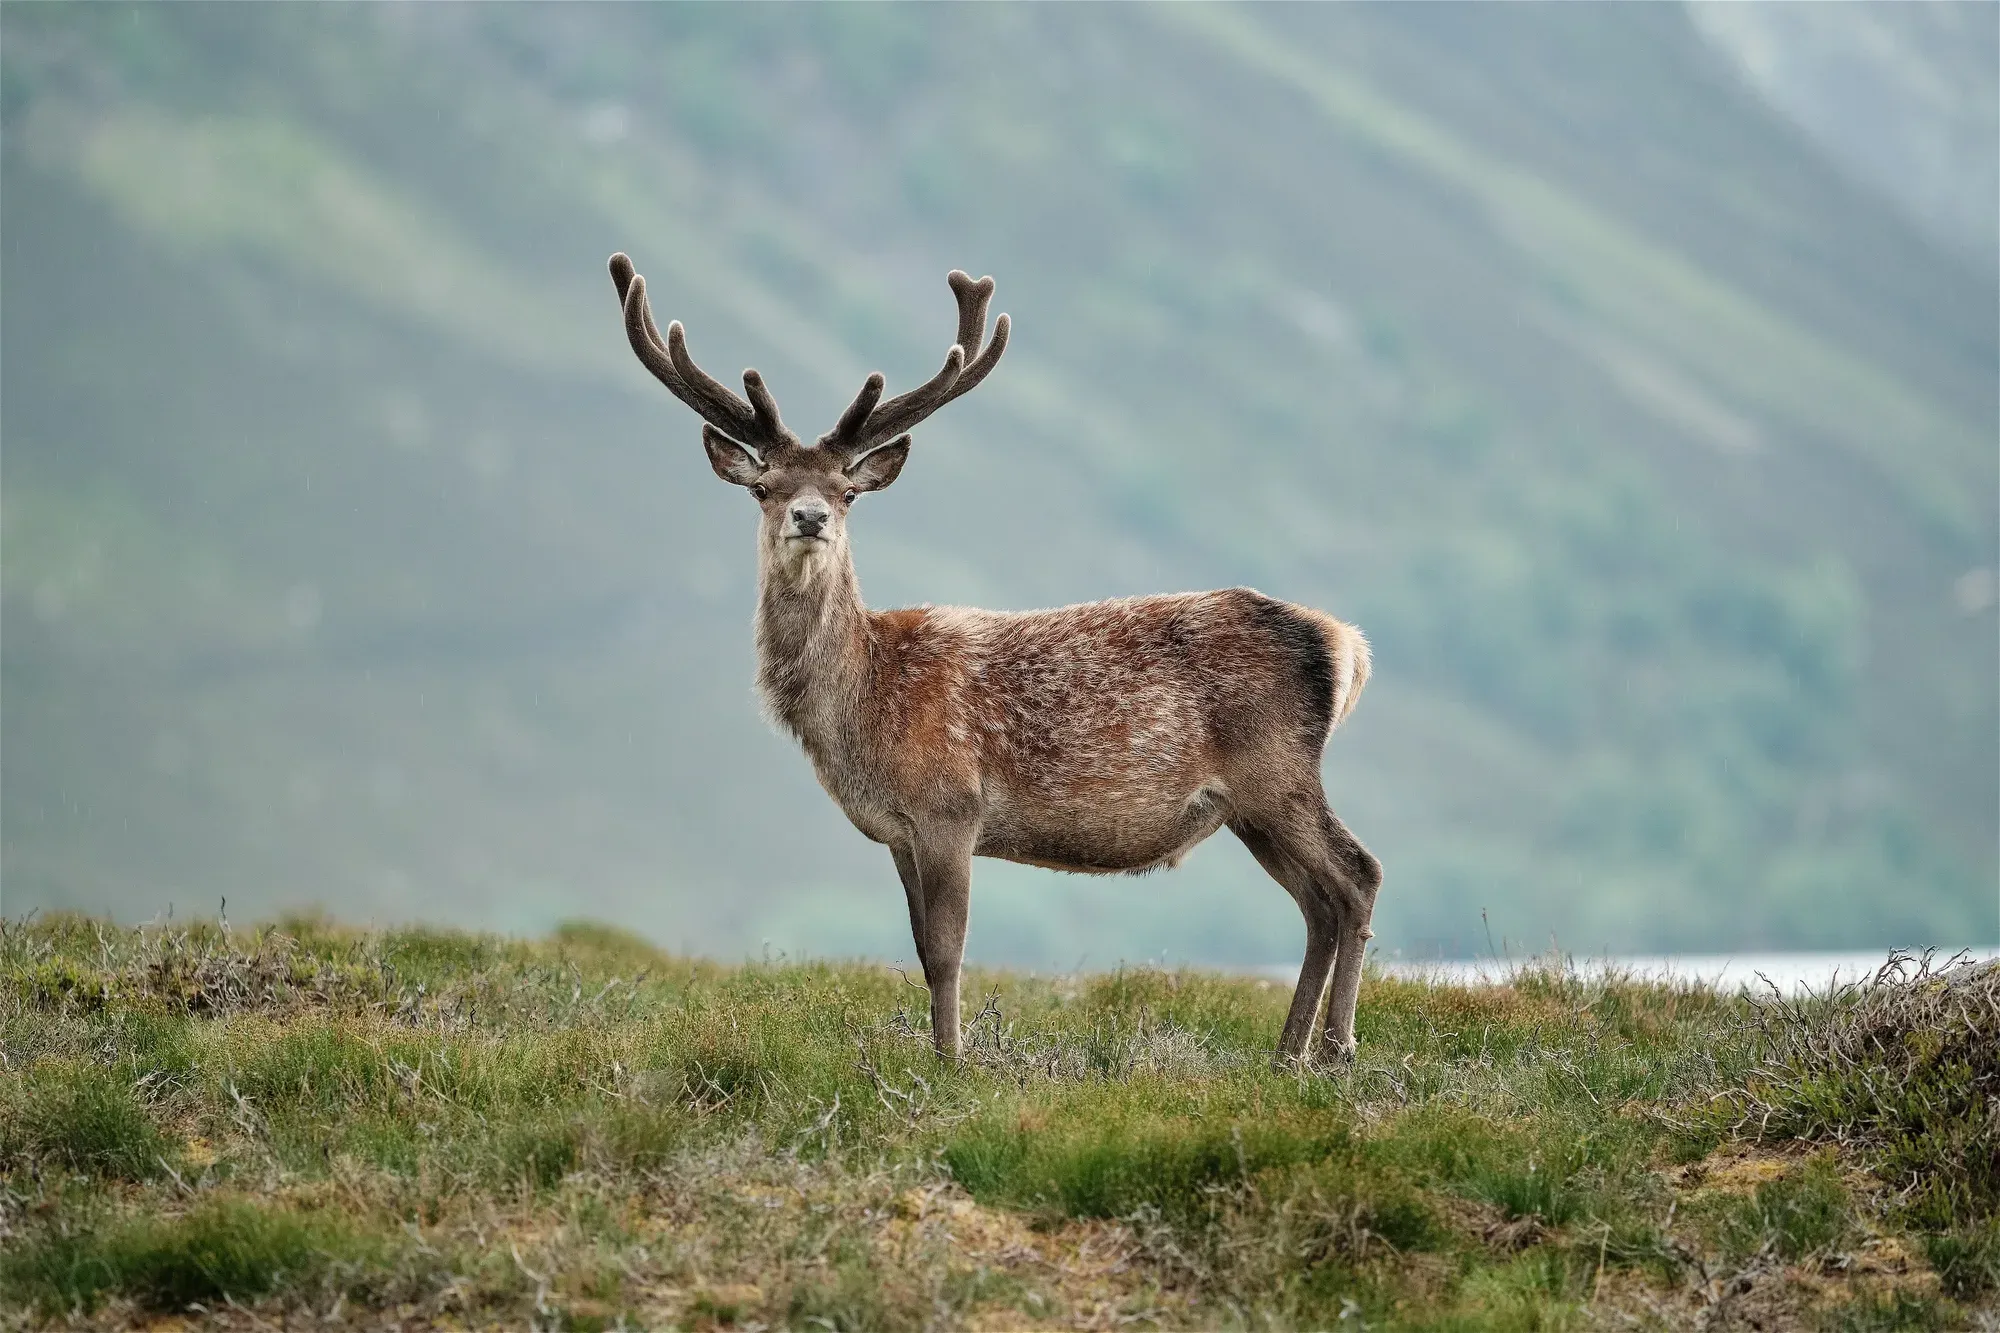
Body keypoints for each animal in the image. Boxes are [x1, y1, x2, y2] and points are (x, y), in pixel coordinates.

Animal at [608, 253, 1382, 1067]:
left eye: (847, 491)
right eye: (764, 486)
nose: (810, 516)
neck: (860, 708)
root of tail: (1346, 643)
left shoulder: (951, 806)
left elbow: (948, 950)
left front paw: (951, 1062)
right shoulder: (898, 832)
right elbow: (920, 949)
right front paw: (939, 1050)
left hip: (1277, 770)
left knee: (1357, 876)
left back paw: (1335, 1050)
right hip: (1251, 805)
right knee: (1318, 902)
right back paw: (1289, 1051)